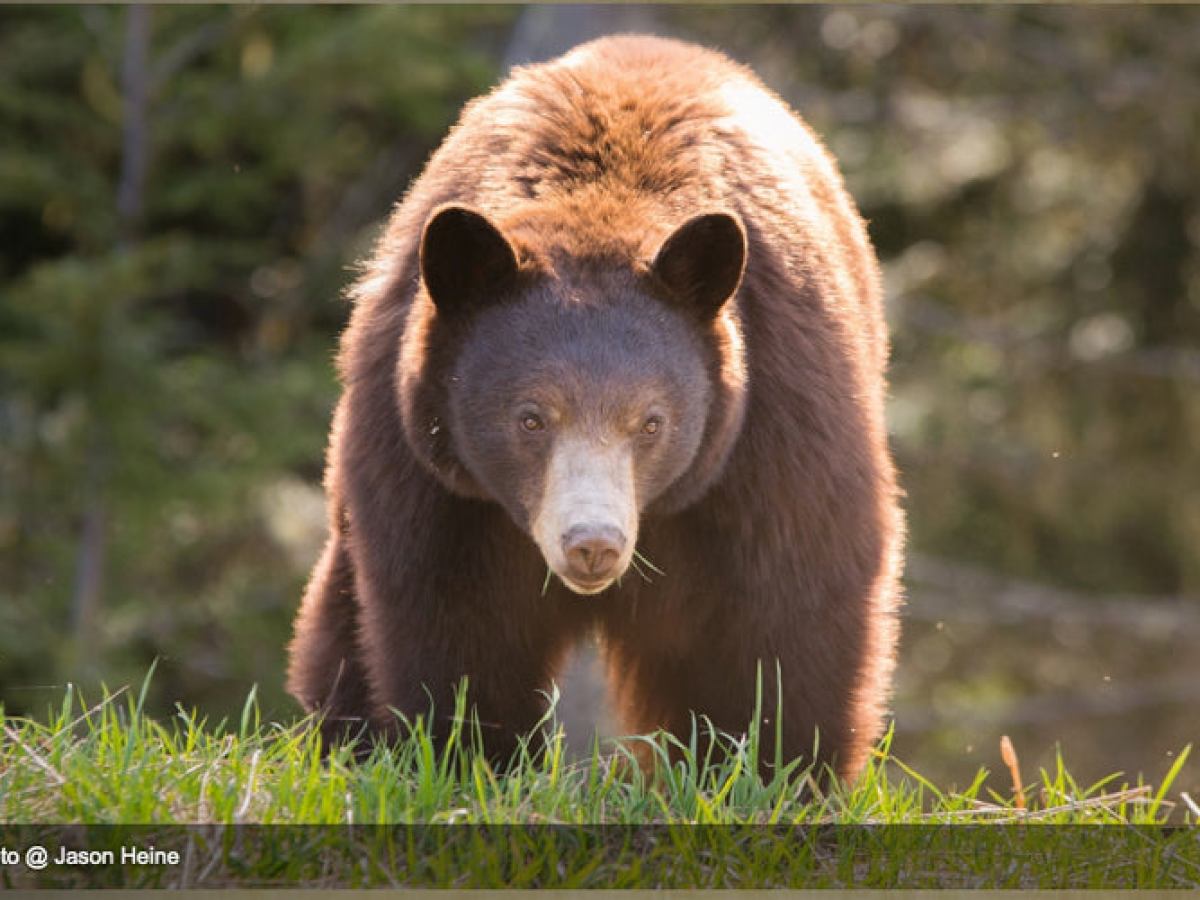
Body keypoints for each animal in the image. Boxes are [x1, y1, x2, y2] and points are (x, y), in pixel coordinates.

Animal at [287, 34, 903, 781]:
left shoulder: (776, 423)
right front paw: (467, 757)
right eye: (530, 417)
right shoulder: (433, 472)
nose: (593, 544)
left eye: (651, 421)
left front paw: (774, 771)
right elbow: (452, 616)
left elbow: (792, 605)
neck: (602, 202)